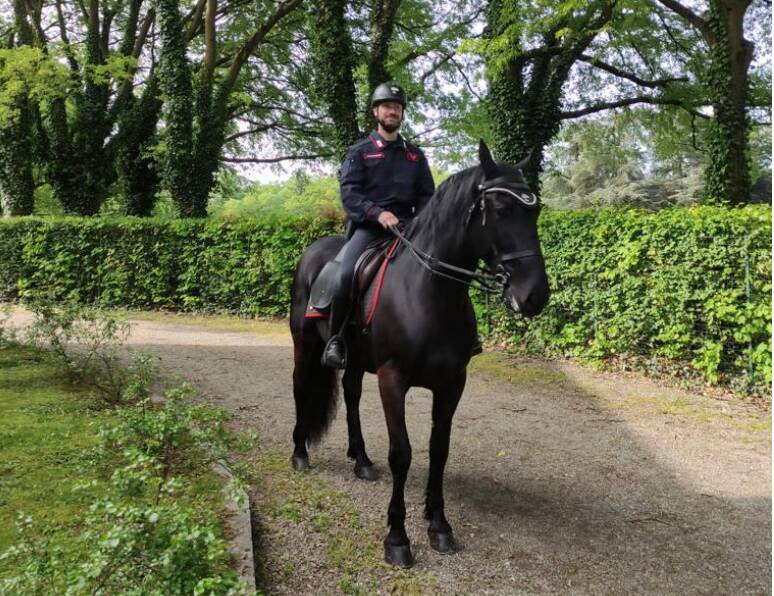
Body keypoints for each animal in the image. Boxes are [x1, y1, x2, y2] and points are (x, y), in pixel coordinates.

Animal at [292, 140, 552, 568]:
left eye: (536, 210)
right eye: (500, 210)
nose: (534, 295)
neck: (428, 292)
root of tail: (313, 252)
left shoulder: (452, 384)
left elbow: (439, 451)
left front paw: (439, 525)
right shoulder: (392, 380)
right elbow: (402, 453)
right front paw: (397, 539)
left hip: (355, 362)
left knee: (350, 395)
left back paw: (361, 460)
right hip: (304, 344)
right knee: (301, 389)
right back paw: (299, 453)